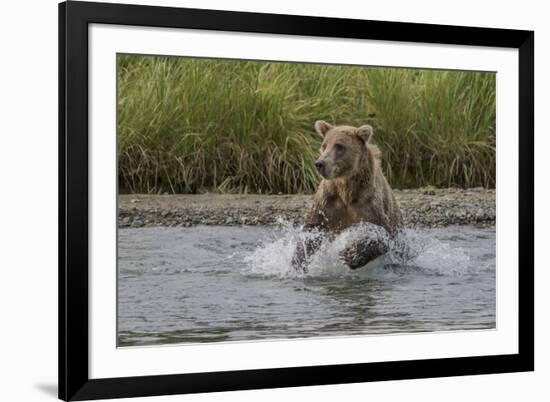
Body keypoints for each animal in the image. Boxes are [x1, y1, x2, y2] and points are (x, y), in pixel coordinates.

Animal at [294, 119, 406, 270]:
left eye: (339, 146)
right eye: (324, 145)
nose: (319, 163)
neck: (346, 189)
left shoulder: (368, 203)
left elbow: (383, 234)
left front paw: (352, 255)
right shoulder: (328, 202)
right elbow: (312, 228)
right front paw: (298, 260)